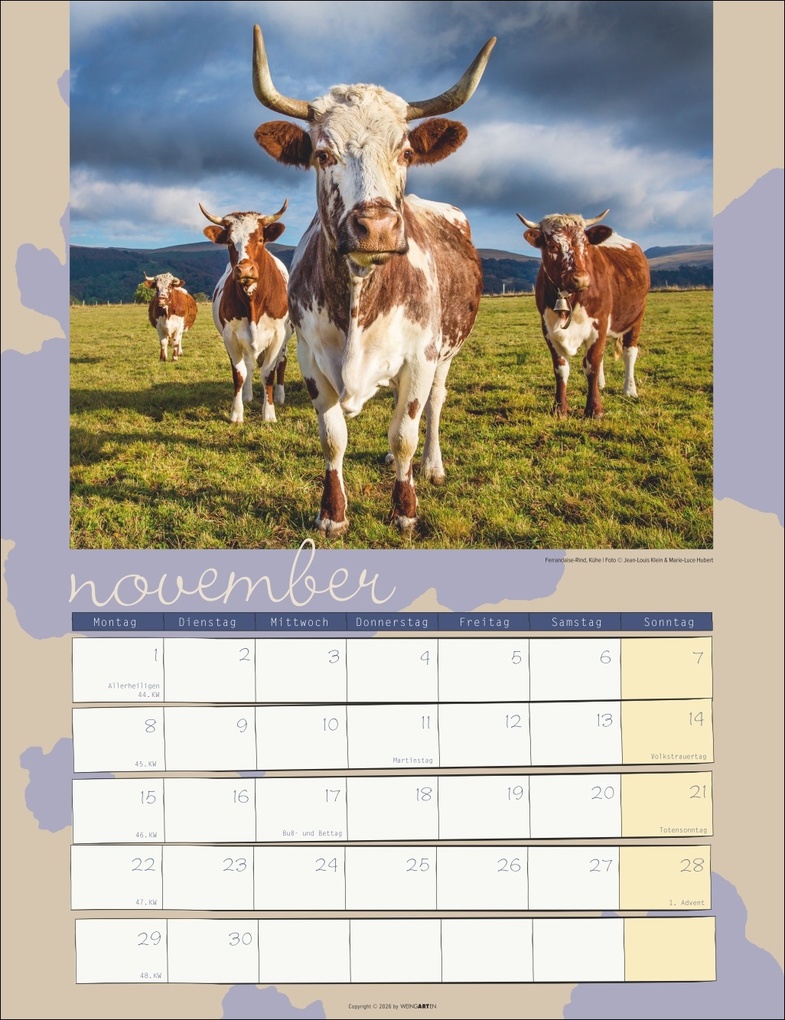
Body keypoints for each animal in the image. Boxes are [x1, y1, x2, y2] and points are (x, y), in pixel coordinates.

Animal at [200, 202, 294, 423]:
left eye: (260, 239)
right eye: (228, 241)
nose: (244, 270)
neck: (253, 304)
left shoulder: (277, 336)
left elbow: (269, 372)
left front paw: (269, 413)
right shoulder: (230, 336)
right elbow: (239, 373)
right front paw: (236, 412)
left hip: (286, 339)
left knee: (282, 363)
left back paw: (279, 396)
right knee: (249, 365)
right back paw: (248, 395)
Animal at [251, 24, 495, 534]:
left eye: (405, 151)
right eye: (323, 154)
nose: (377, 227)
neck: (361, 294)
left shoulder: (422, 357)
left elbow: (405, 432)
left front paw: (405, 508)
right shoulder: (309, 359)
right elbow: (333, 437)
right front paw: (332, 513)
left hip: (446, 353)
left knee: (433, 405)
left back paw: (431, 466)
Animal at [518, 210, 650, 419]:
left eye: (586, 244)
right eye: (552, 246)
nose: (581, 279)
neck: (569, 297)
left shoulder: (599, 325)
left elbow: (592, 365)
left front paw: (594, 409)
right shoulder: (548, 329)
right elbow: (561, 368)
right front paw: (560, 408)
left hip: (636, 318)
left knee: (630, 352)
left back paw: (629, 390)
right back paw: (602, 384)